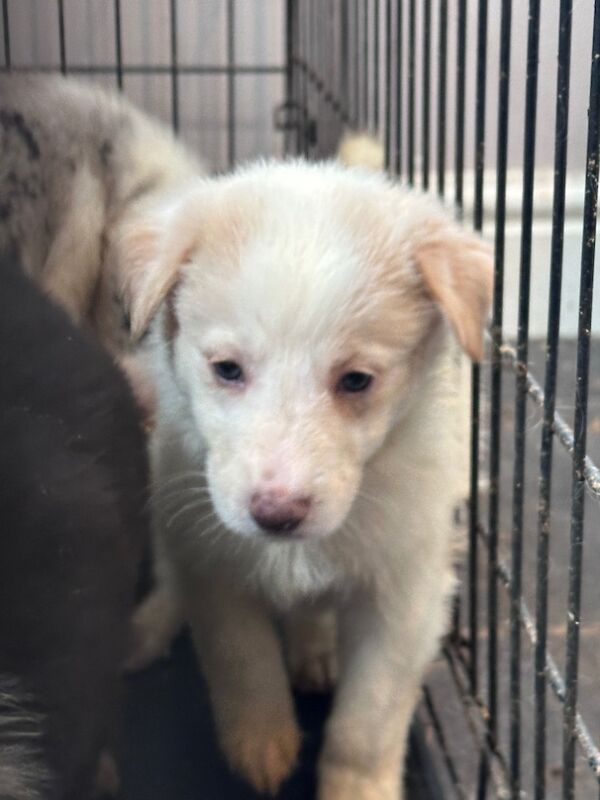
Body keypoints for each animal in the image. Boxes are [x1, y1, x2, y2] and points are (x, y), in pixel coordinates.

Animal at [127, 159, 492, 796]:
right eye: (227, 369)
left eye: (357, 380)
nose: (276, 514)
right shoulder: (211, 560)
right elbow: (240, 656)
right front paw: (261, 741)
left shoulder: (405, 600)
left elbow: (366, 723)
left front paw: (358, 788)